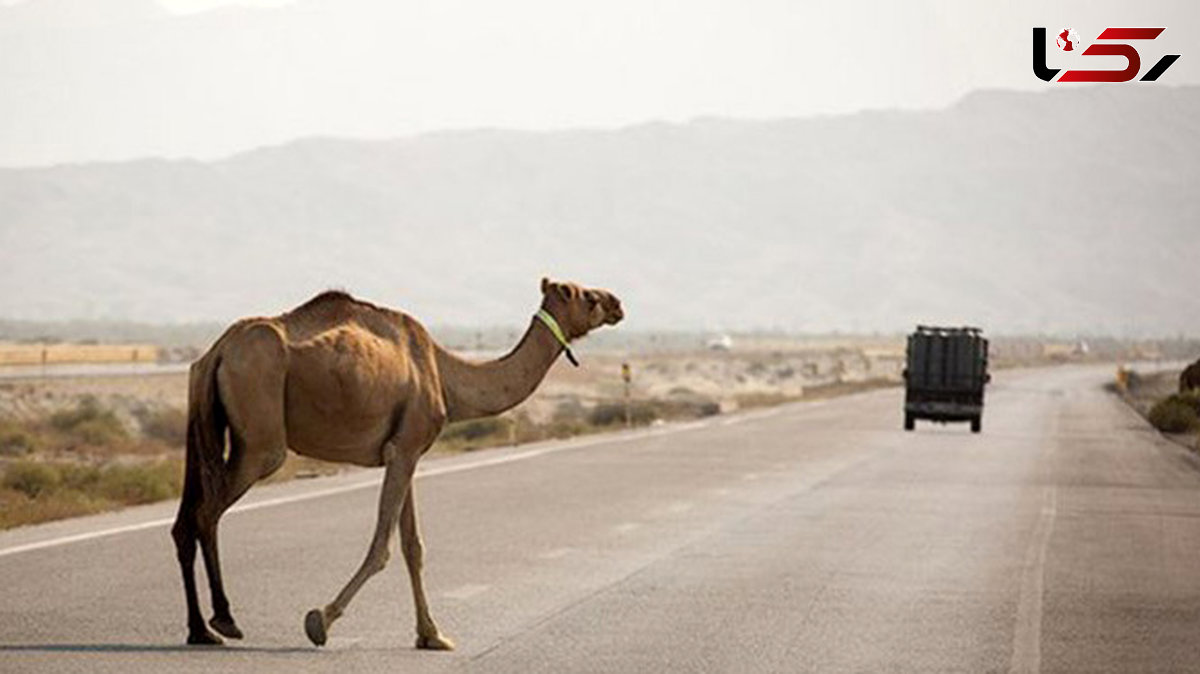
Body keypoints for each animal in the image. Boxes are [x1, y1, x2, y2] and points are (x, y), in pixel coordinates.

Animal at [174, 277, 624, 647]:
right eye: (586, 295)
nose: (617, 302)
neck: (445, 374)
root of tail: (216, 352)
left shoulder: (406, 450)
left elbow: (413, 546)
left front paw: (433, 635)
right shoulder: (405, 449)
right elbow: (383, 547)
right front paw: (321, 620)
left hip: (205, 423)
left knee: (185, 521)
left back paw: (200, 630)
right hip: (260, 435)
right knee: (207, 513)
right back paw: (224, 620)